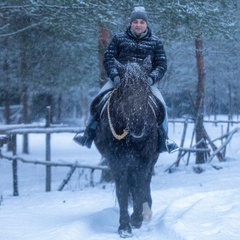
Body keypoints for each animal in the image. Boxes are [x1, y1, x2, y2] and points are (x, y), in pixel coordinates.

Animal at [93, 56, 165, 238]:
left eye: (147, 90)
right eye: (124, 91)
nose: (138, 127)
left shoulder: (144, 161)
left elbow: (139, 187)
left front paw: (137, 219)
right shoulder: (116, 163)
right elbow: (123, 191)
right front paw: (125, 227)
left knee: (145, 182)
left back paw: (145, 212)